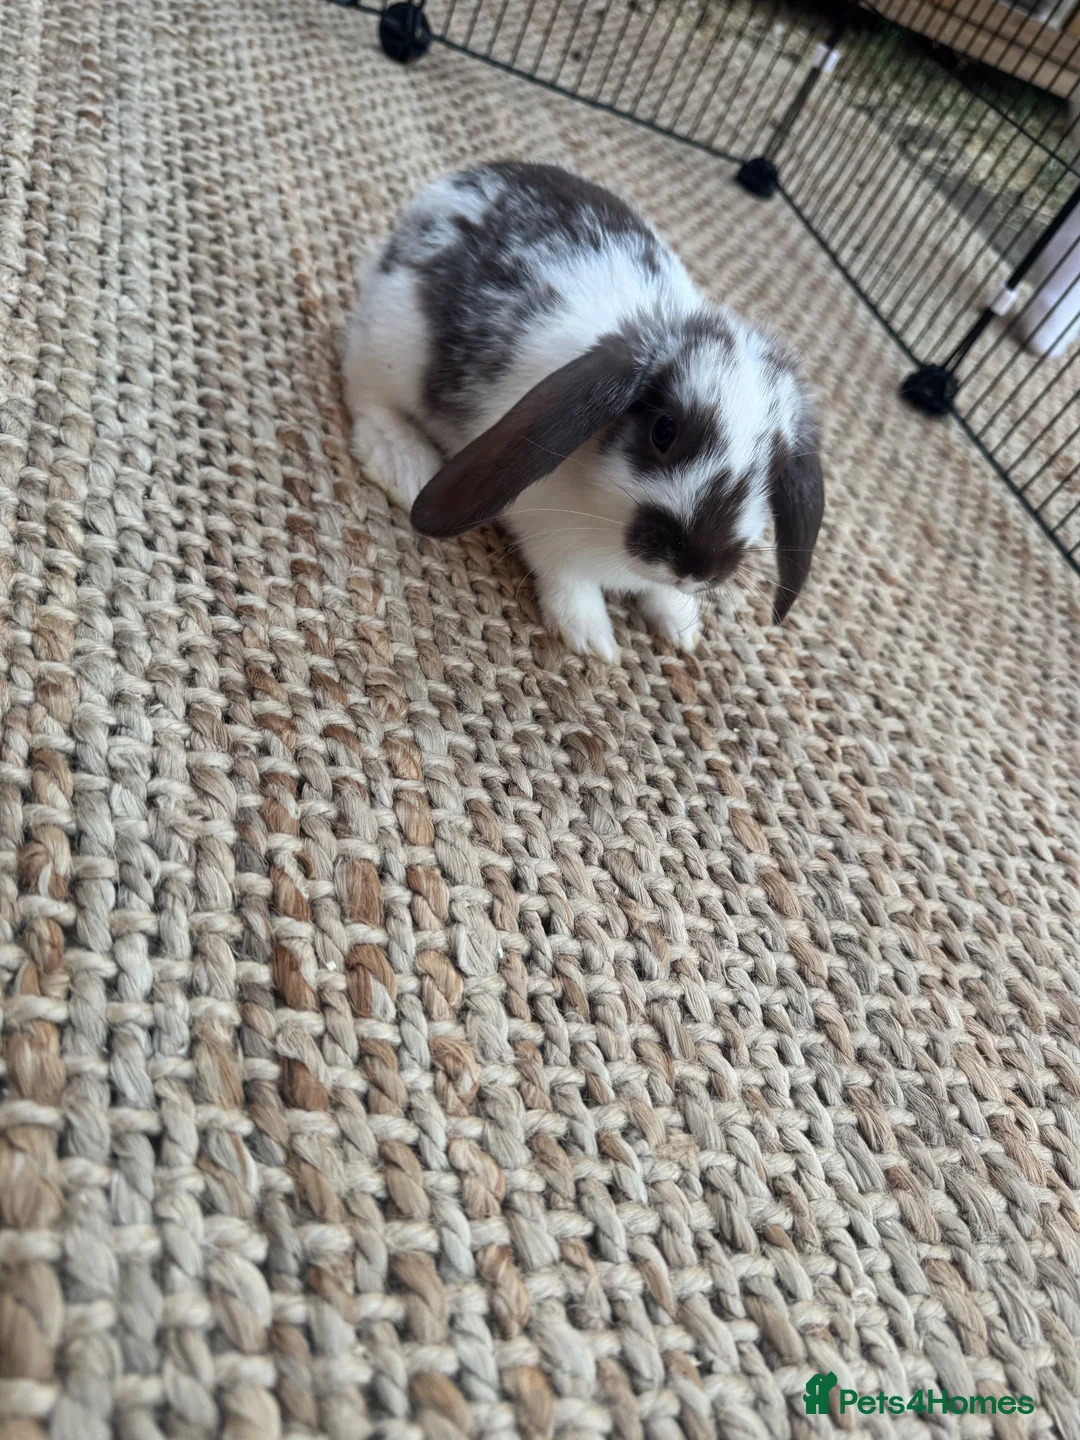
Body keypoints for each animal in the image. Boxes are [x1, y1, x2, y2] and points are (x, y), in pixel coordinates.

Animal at [343, 161, 824, 660]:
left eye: (774, 473)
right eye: (664, 430)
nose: (696, 566)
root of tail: (442, 190)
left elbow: (661, 596)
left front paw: (681, 625)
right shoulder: (547, 532)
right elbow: (570, 581)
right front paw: (593, 641)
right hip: (394, 346)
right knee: (364, 391)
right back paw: (404, 465)